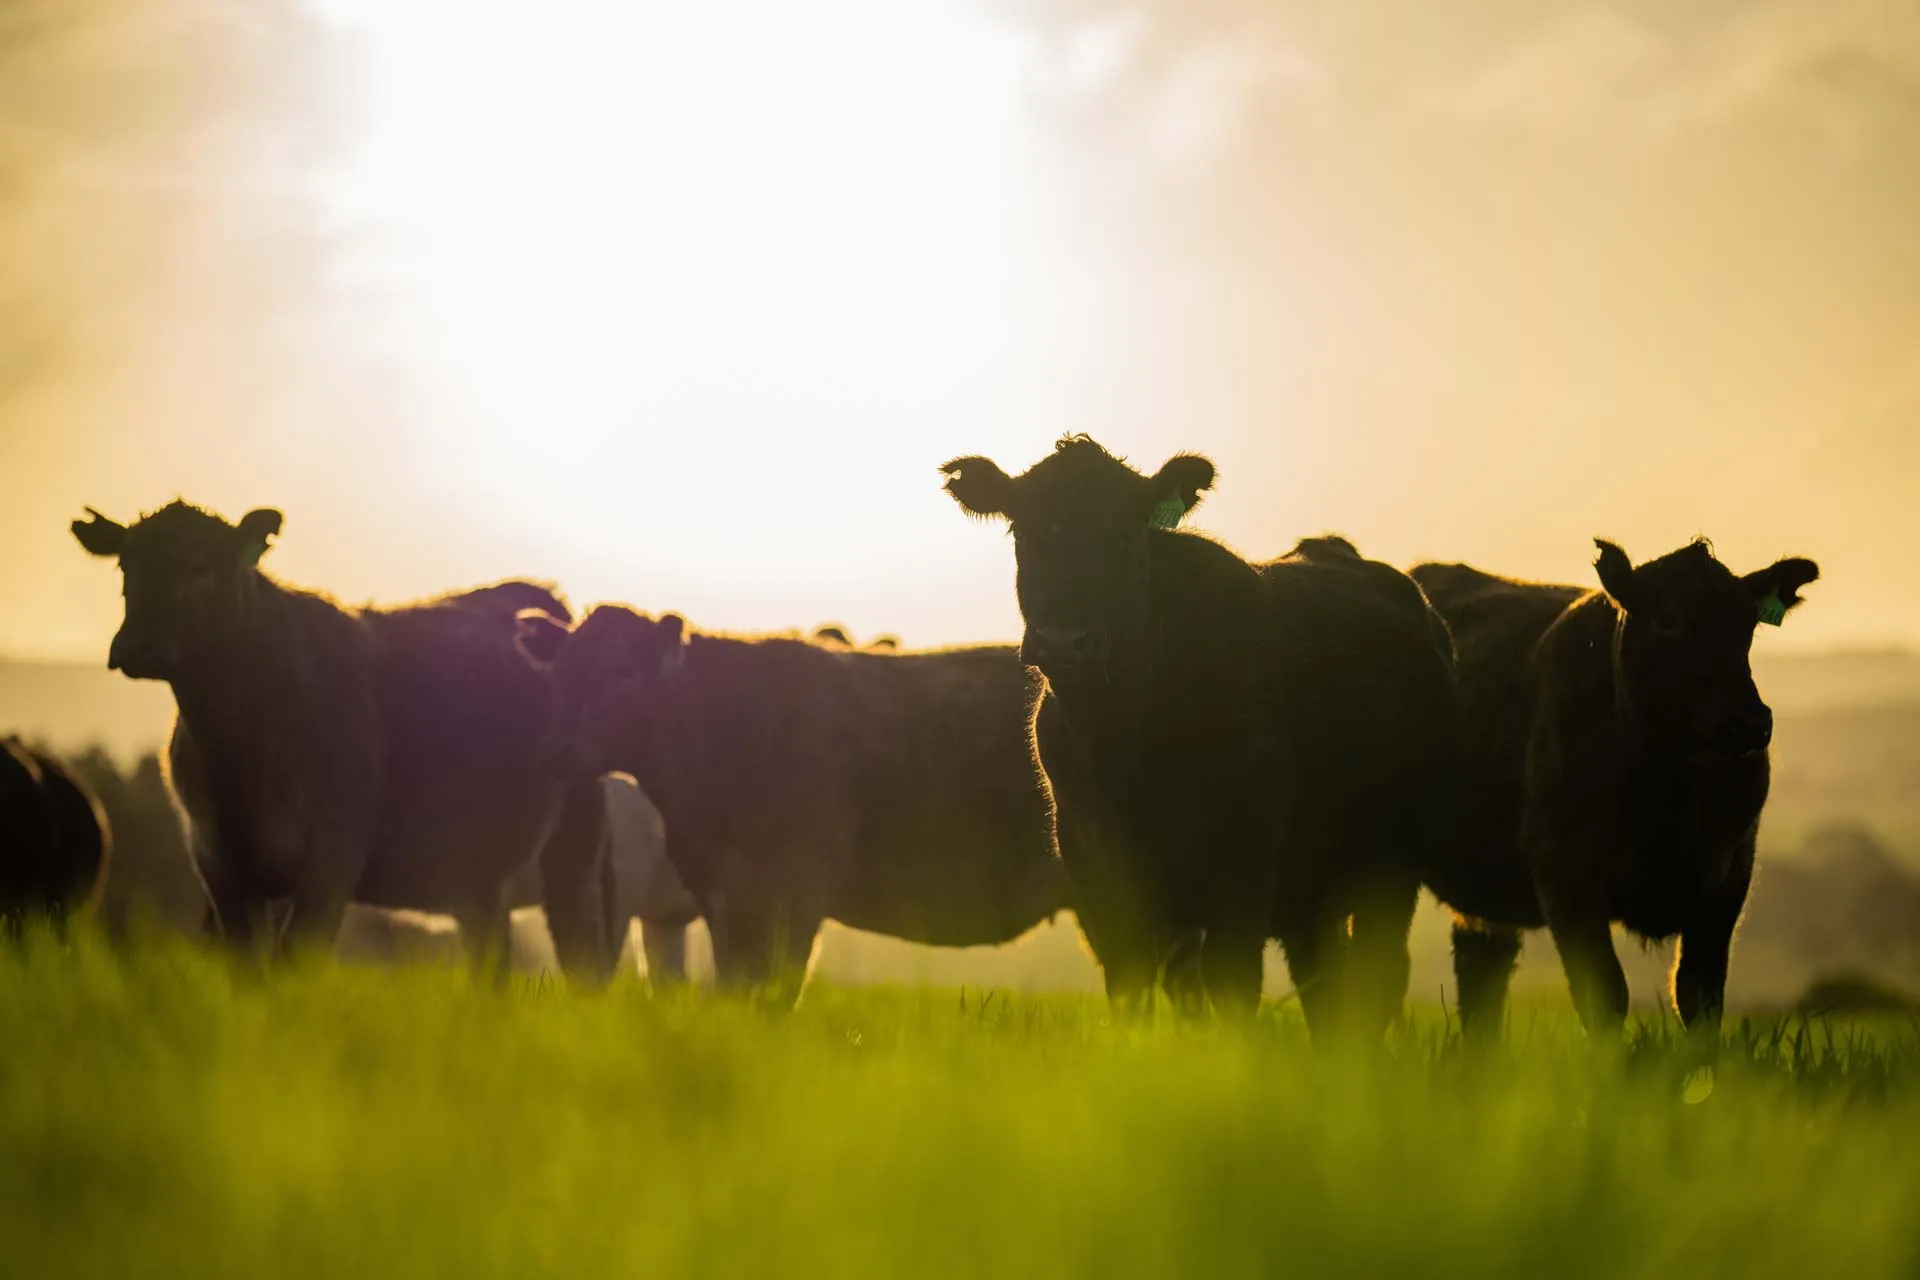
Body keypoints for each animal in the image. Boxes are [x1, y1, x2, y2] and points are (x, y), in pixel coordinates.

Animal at [70, 501, 618, 982]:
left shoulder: (333, 855)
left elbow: (296, 962)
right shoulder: (218, 864)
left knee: (584, 961)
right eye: (125, 565)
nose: (134, 645)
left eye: (200, 566)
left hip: (571, 859)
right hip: (480, 881)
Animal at [941, 437, 1459, 1035]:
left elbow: (1232, 986)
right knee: (1323, 982)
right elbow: (1133, 985)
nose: (1062, 641)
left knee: (1379, 975)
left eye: (1122, 536)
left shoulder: (1245, 860)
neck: (1120, 741)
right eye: (1023, 534)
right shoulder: (1093, 866)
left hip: (1395, 864)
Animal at [1410, 539, 1819, 1040]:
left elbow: (1699, 998)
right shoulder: (1565, 873)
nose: (1752, 722)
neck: (1670, 792)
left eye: (1748, 623)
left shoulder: (1729, 876)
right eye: (1668, 619)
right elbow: (1604, 997)